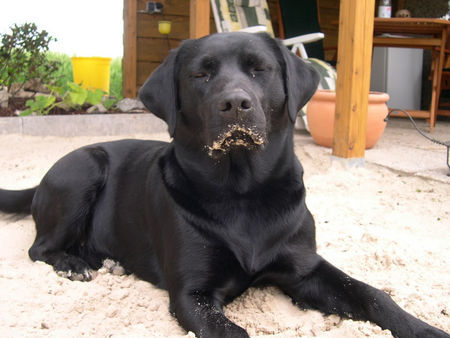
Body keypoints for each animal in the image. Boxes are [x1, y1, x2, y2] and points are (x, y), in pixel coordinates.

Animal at [0, 32, 446, 338]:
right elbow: (231, 331)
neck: (243, 194)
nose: (235, 103)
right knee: (39, 248)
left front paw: (425, 329)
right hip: (84, 168)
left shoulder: (305, 269)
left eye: (258, 68)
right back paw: (74, 264)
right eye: (201, 74)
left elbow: (374, 294)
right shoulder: (192, 293)